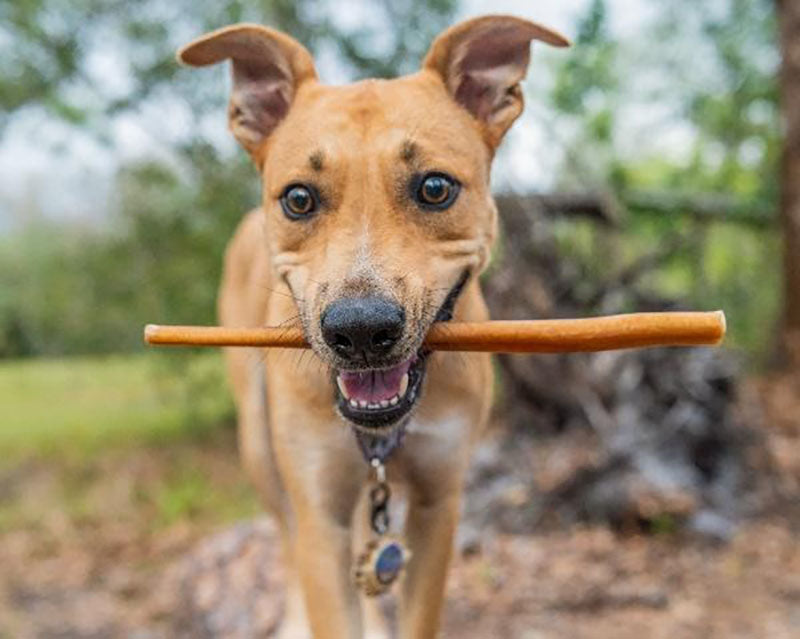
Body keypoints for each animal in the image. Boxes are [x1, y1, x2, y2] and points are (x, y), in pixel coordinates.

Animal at [180, 15, 568, 639]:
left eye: (435, 187)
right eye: (298, 198)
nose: (360, 332)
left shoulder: (439, 502)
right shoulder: (319, 508)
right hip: (259, 448)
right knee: (284, 533)